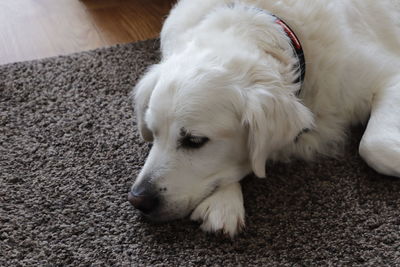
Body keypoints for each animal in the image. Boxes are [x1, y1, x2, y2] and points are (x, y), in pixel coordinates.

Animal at [128, 0, 400, 239]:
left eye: (195, 141)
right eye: (153, 133)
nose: (138, 199)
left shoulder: (387, 75)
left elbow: (374, 146)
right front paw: (223, 203)